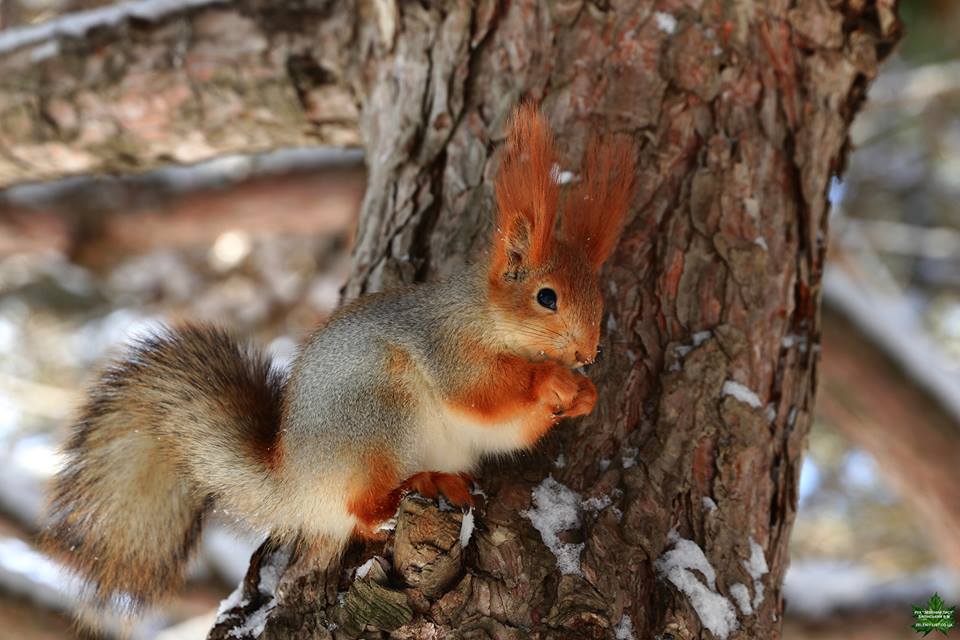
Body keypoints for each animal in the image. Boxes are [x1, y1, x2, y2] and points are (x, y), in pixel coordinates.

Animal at [41, 105, 636, 608]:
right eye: (546, 297)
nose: (588, 352)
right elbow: (482, 394)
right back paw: (406, 495)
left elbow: (508, 430)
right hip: (378, 414)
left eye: (599, 297)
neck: (485, 316)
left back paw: (448, 483)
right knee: (361, 512)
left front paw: (583, 395)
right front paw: (553, 381)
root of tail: (294, 488)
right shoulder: (447, 348)